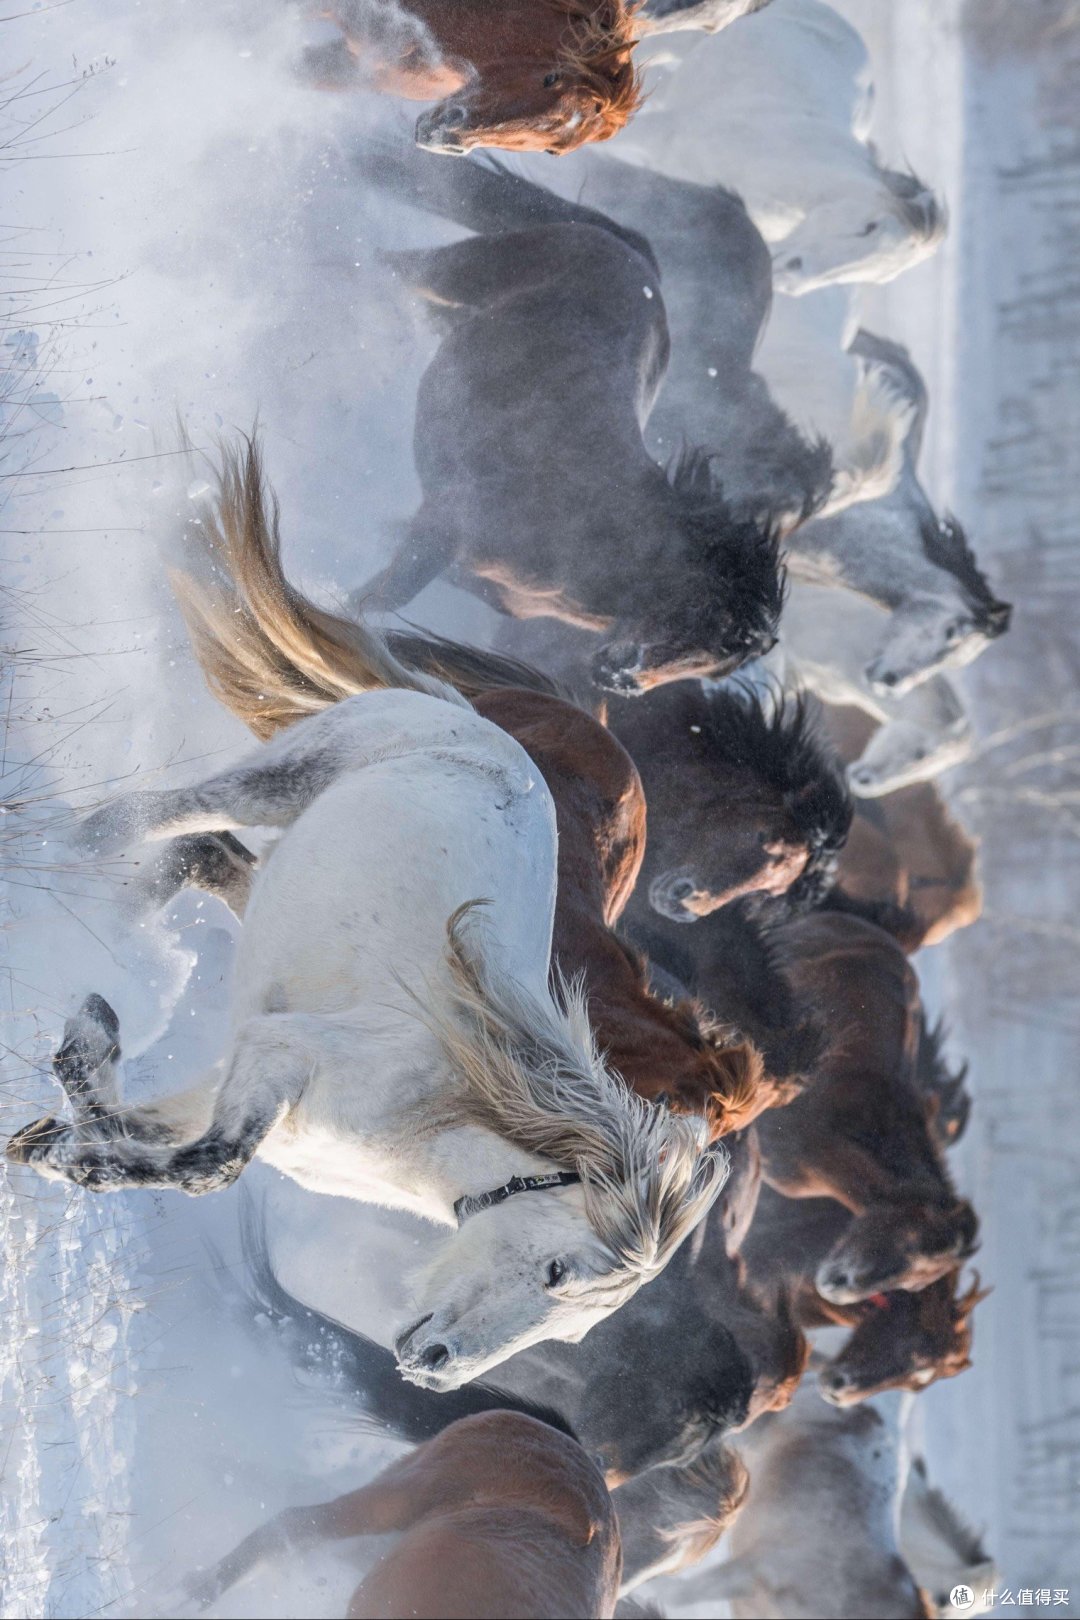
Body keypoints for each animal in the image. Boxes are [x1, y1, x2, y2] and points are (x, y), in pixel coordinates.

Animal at [6, 443, 724, 1390]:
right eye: (557, 1272)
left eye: (574, 1328)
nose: (436, 1368)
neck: (418, 1123)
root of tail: (472, 722)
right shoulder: (279, 1056)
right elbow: (207, 1170)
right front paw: (80, 1137)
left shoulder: (230, 1085)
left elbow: (136, 1124)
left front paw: (61, 1127)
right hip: (283, 781)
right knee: (162, 814)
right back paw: (79, 862)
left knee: (204, 857)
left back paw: (130, 941)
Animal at [350, 143, 784, 695]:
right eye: (711, 618)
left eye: (718, 664)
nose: (622, 681)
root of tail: (639, 262)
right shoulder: (446, 523)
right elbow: (389, 595)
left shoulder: (461, 563)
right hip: (455, 274)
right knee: (393, 265)